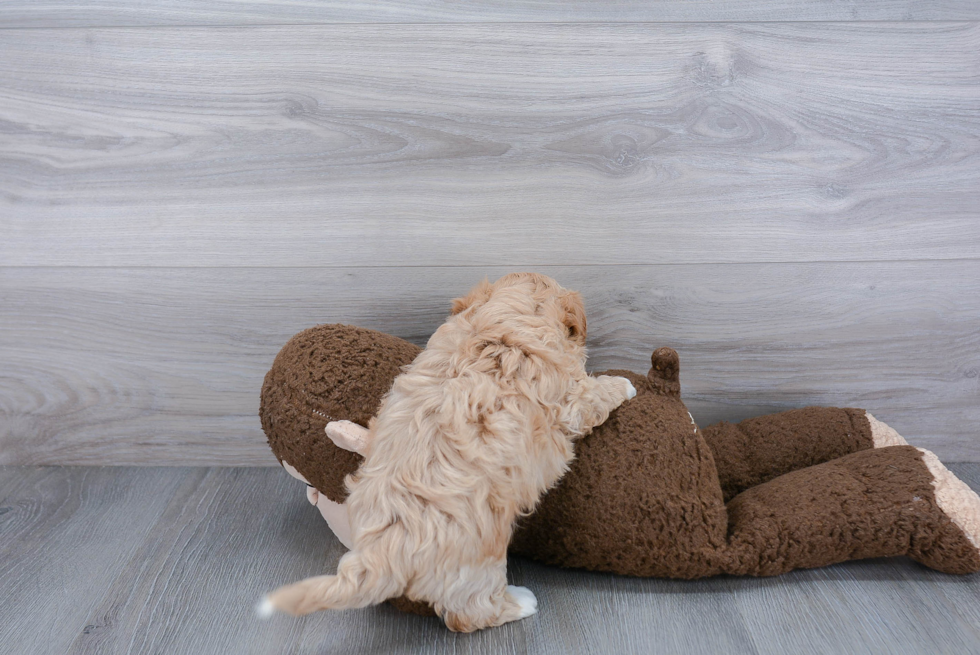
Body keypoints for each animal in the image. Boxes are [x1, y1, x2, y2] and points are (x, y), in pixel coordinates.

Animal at [260, 272, 636, 632]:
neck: (504, 324)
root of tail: (381, 553)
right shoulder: (571, 399)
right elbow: (596, 394)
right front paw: (624, 385)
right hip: (476, 568)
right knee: (471, 614)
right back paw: (520, 603)